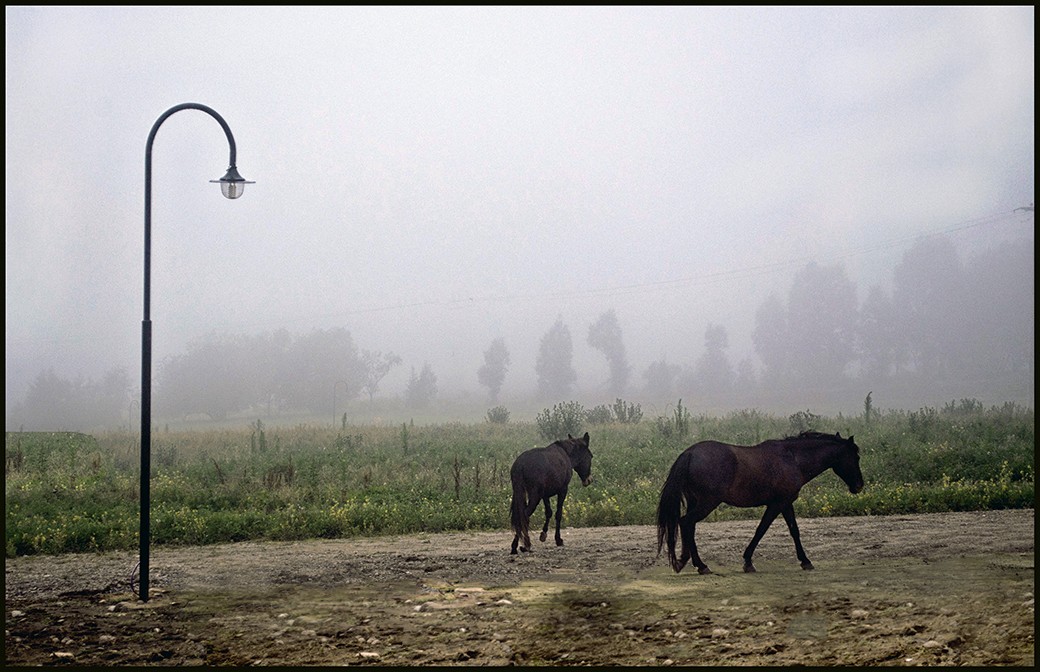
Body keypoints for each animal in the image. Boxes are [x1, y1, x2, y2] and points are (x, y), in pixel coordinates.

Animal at [653, 432, 865, 574]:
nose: (859, 485)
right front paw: (748, 562)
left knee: (687, 525)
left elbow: (794, 530)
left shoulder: (785, 503)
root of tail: (689, 453)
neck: (792, 458)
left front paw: (805, 561)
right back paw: (701, 565)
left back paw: (682, 561)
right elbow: (761, 529)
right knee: (686, 522)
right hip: (707, 502)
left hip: (695, 501)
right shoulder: (778, 503)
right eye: (855, 456)